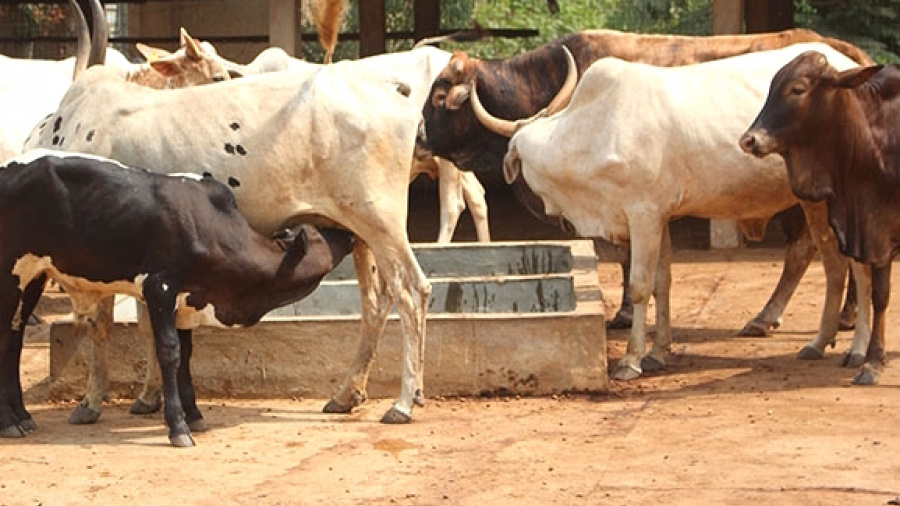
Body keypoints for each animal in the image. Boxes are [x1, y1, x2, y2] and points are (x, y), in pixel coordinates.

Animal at [500, 43, 872, 382]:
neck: (590, 132)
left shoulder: (644, 215)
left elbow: (640, 286)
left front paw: (631, 361)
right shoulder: (661, 217)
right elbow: (662, 283)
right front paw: (657, 353)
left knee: (854, 264)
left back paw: (854, 347)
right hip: (813, 201)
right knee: (829, 261)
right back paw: (813, 339)